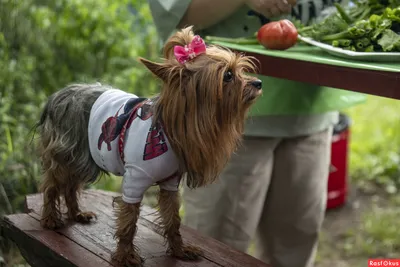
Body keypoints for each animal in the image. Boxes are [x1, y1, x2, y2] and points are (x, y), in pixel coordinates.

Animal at [35, 26, 262, 266]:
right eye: (228, 75)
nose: (258, 83)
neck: (169, 130)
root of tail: (57, 95)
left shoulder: (171, 182)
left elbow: (172, 218)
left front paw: (179, 250)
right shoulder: (135, 179)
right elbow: (128, 220)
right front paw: (125, 255)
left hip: (82, 158)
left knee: (70, 186)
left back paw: (76, 214)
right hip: (67, 152)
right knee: (52, 184)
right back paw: (50, 219)